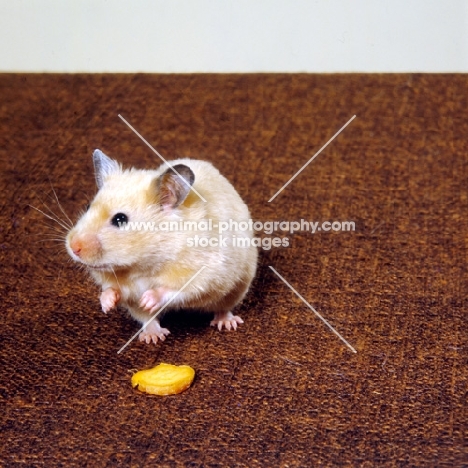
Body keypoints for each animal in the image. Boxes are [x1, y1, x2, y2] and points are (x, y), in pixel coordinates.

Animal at [65, 149, 258, 344]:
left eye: (120, 219)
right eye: (88, 207)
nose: (73, 247)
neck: (142, 265)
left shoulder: (203, 274)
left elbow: (176, 290)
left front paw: (147, 299)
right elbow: (114, 289)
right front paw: (107, 304)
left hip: (238, 286)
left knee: (223, 307)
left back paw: (226, 323)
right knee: (147, 319)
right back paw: (152, 337)